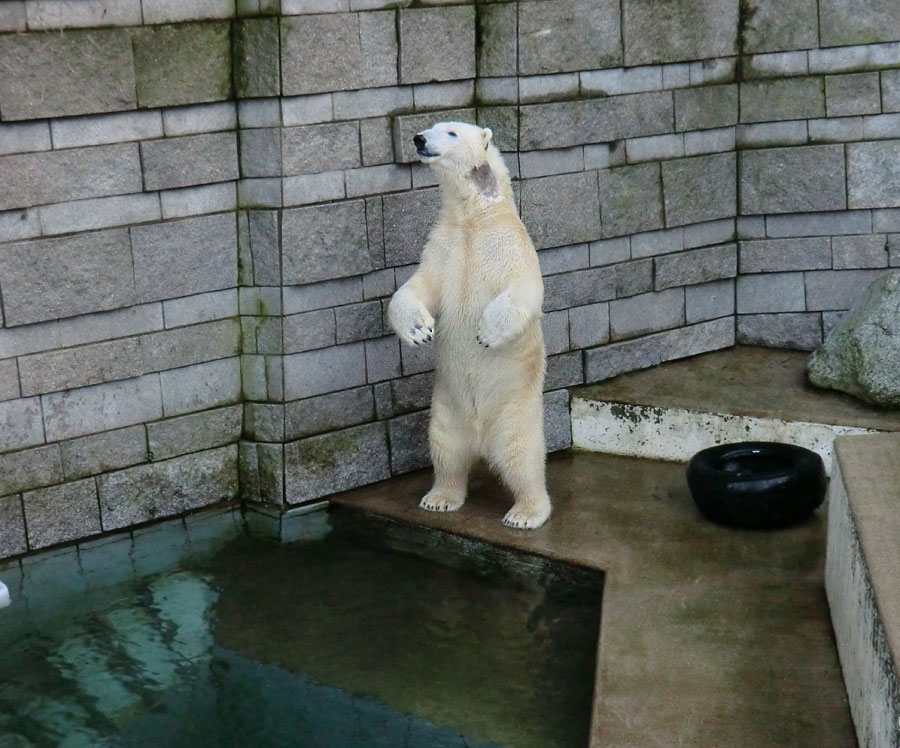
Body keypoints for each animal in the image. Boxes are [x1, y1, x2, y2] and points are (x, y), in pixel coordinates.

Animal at [384, 122, 548, 528]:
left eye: (451, 132)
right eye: (430, 127)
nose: (419, 139)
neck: (475, 217)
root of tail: (481, 440)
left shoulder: (508, 245)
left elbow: (525, 289)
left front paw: (486, 332)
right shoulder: (443, 247)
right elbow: (418, 287)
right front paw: (419, 331)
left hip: (515, 411)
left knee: (522, 456)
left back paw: (525, 512)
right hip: (446, 410)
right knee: (446, 452)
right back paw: (440, 497)